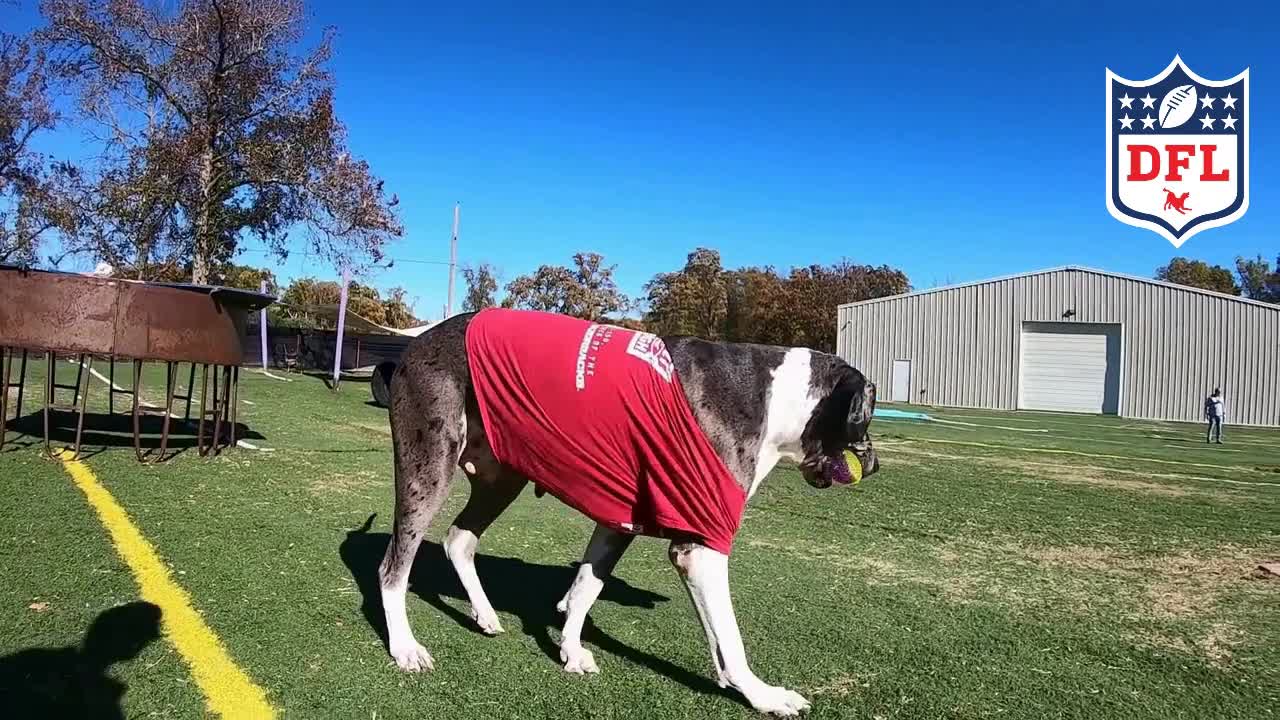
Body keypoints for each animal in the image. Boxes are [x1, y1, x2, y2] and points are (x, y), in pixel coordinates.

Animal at [373, 307, 875, 712]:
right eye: (866, 416)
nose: (871, 463)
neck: (775, 398)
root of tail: (419, 341)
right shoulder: (701, 547)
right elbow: (729, 639)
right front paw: (763, 695)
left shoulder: (618, 521)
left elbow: (585, 586)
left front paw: (570, 649)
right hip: (429, 466)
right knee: (393, 567)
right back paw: (405, 647)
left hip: (502, 476)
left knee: (459, 540)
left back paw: (485, 613)